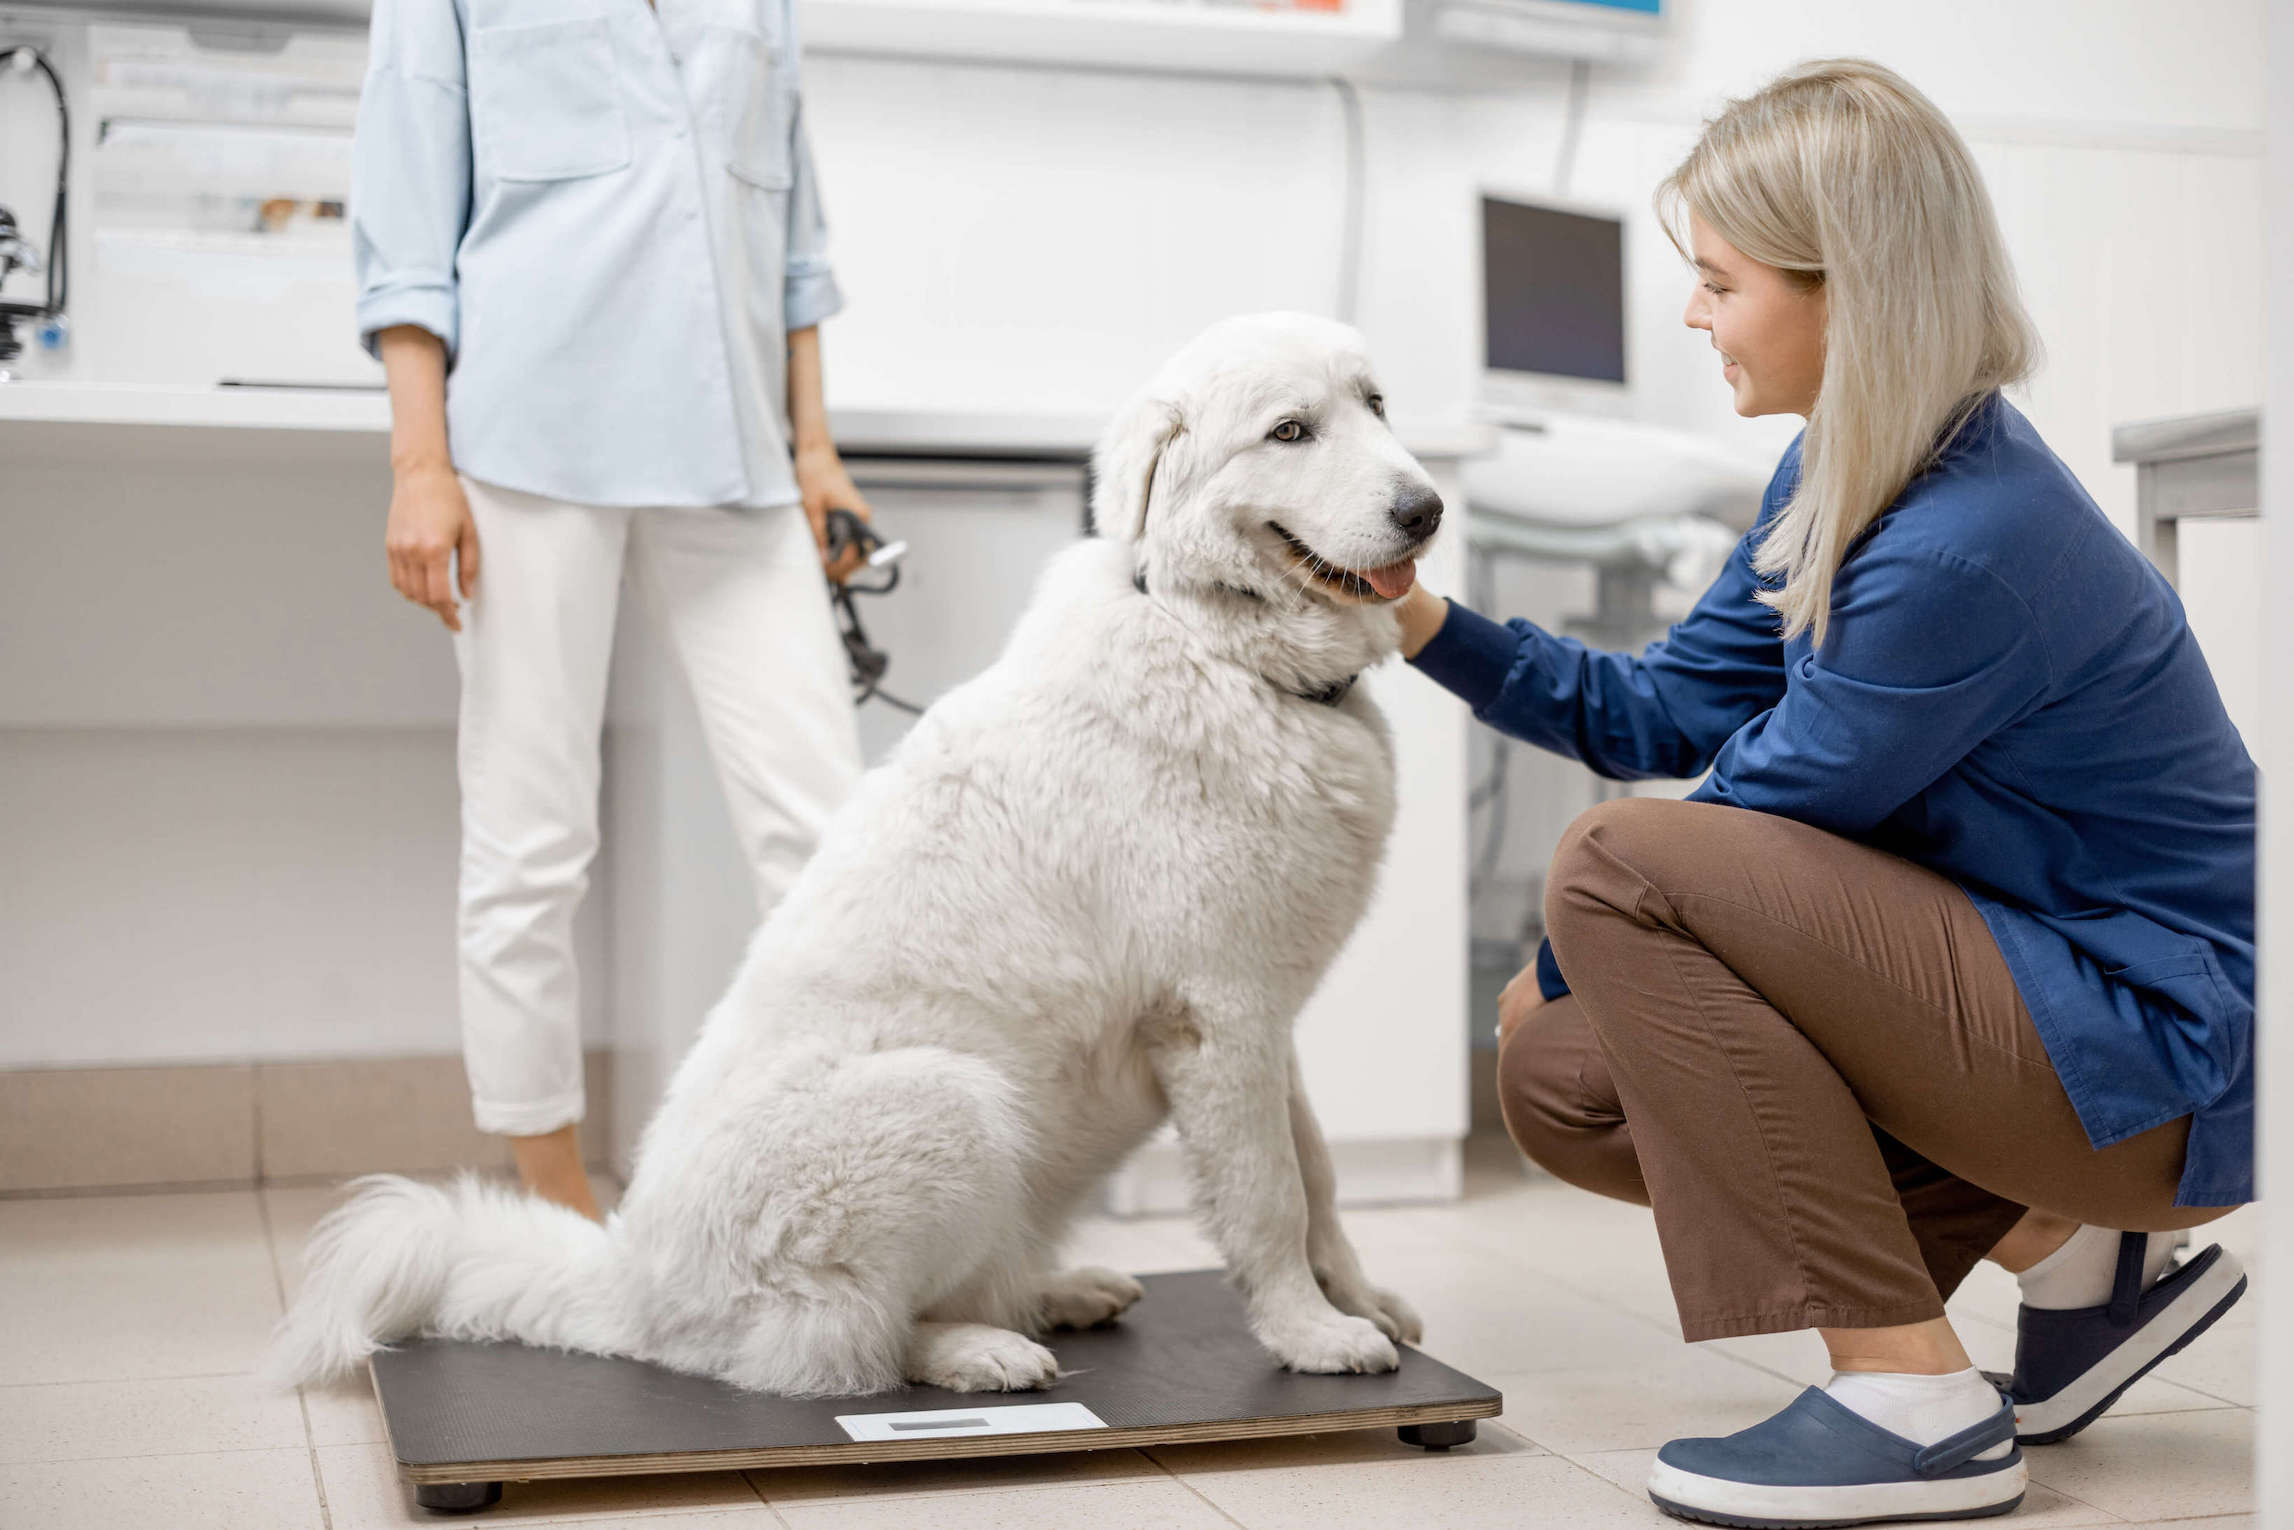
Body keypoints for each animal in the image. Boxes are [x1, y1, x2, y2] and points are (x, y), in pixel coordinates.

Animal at [268, 314, 1440, 1403]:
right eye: (1288, 431)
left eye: (1376, 404)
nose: (1426, 509)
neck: (1223, 652)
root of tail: (631, 1286)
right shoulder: (1217, 1016)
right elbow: (1268, 1198)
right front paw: (1310, 1334)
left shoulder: (1263, 1021)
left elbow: (1320, 1179)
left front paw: (1358, 1299)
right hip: (948, 1103)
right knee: (834, 1347)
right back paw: (981, 1351)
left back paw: (1055, 1292)